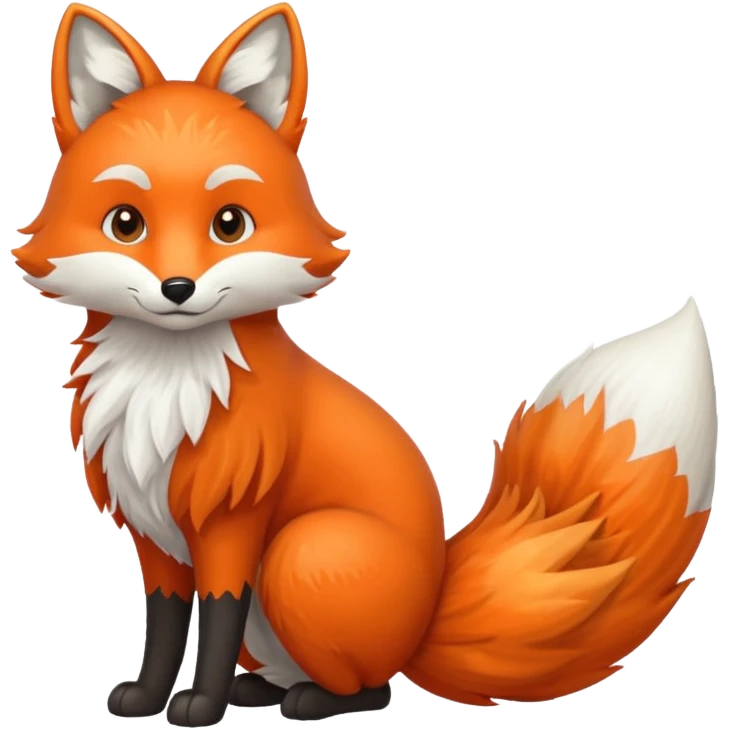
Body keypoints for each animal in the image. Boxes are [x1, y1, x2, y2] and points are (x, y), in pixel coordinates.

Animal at [13, 1, 719, 727]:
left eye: (229, 223)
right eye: (125, 223)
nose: (177, 288)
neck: (167, 383)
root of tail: (427, 613)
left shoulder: (230, 522)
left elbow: (215, 619)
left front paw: (200, 705)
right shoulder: (154, 532)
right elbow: (163, 626)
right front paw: (147, 697)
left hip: (302, 552)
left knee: (372, 687)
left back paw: (308, 700)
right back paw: (260, 692)